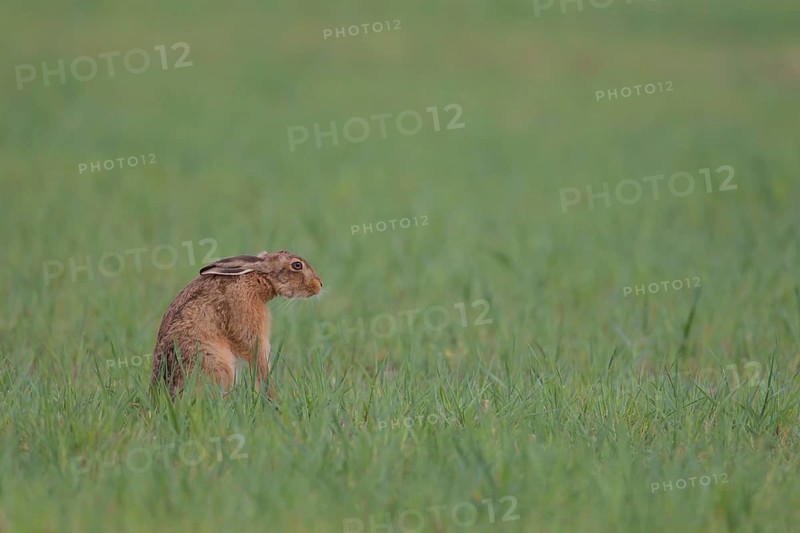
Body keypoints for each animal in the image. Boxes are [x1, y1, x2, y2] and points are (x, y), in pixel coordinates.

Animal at [150, 249, 323, 399]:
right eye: (297, 265)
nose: (320, 284)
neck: (257, 277)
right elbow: (255, 352)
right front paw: (271, 395)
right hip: (213, 362)